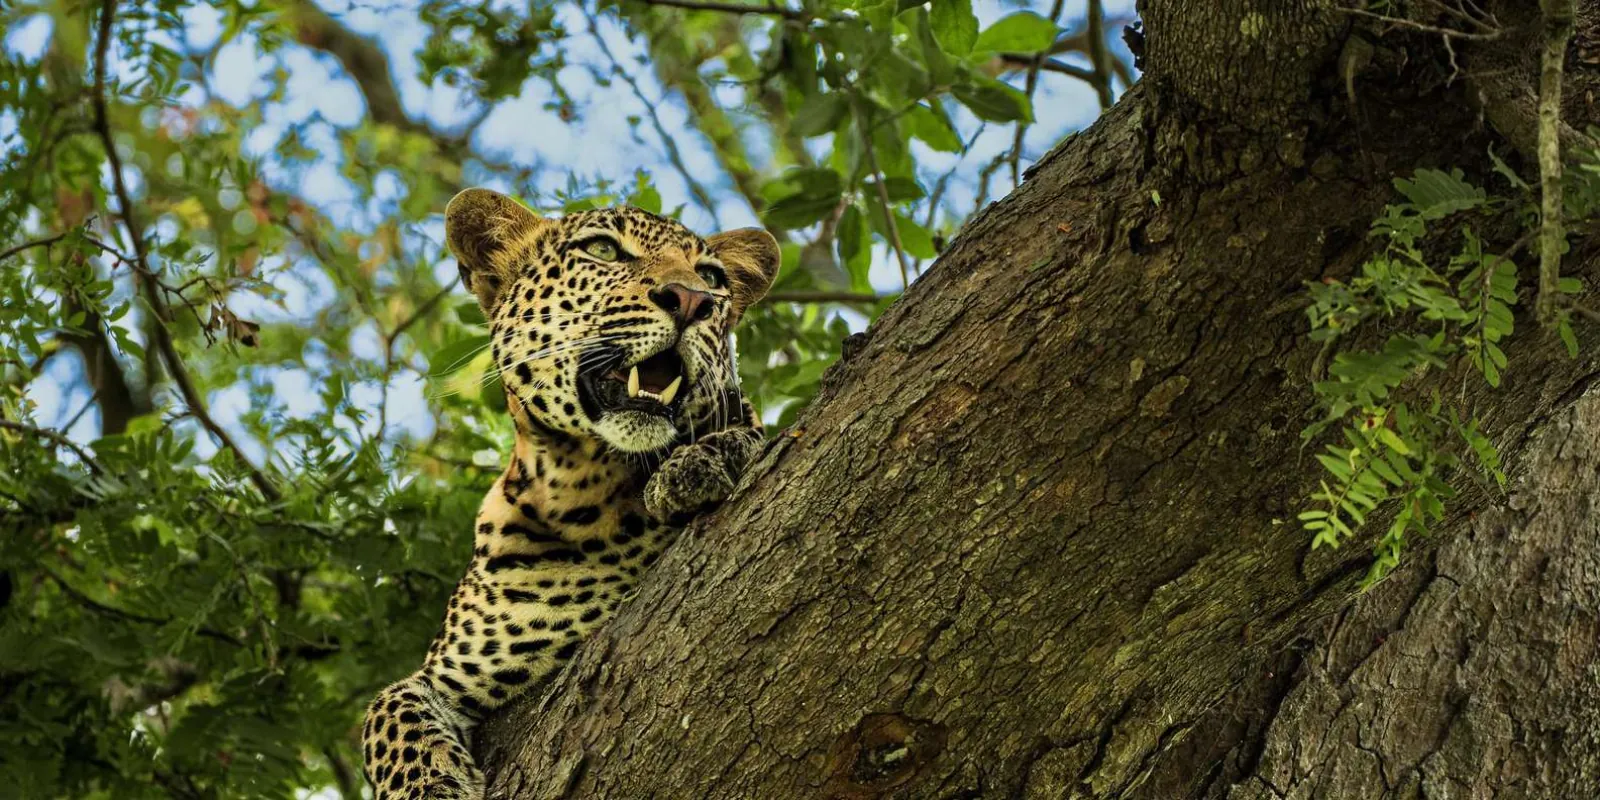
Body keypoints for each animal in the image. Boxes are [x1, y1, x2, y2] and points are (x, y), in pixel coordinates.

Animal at [360, 188, 779, 799]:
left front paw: (698, 464)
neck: (586, 485)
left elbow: (753, 432)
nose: (691, 300)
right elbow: (386, 708)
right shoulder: (447, 671)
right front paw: (432, 788)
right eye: (603, 250)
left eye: (711, 277)